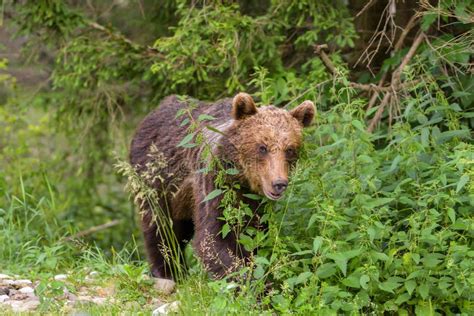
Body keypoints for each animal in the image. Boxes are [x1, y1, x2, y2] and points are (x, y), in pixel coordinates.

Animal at [130, 93, 314, 278]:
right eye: (262, 147)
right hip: (157, 179)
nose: (279, 183)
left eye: (289, 149)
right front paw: (245, 276)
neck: (242, 179)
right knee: (160, 226)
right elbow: (214, 238)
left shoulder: (255, 204)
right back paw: (168, 272)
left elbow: (257, 235)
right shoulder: (215, 187)